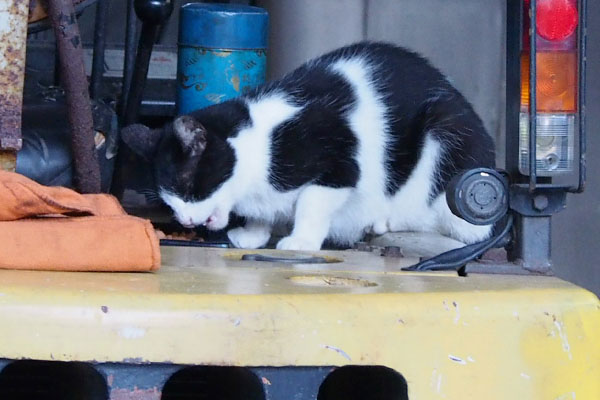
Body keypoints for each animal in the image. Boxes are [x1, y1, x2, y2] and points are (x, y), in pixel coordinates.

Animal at [122, 40, 492, 250]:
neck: (262, 148)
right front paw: (254, 235)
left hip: (445, 136)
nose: (184, 221)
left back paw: (384, 221)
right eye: (168, 201)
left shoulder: (338, 164)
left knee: (461, 228)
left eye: (188, 188)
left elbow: (311, 204)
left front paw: (301, 242)